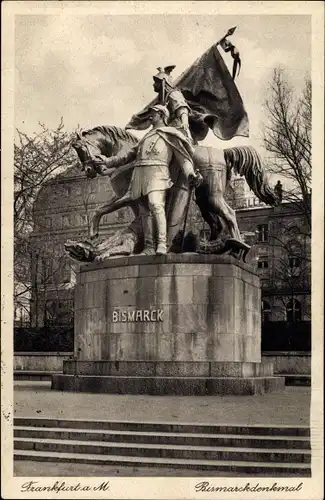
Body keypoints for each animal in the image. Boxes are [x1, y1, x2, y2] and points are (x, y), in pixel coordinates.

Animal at [72, 125, 278, 250]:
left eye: (80, 149)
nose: (89, 170)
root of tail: (223, 152)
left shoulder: (131, 196)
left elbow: (102, 210)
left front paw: (93, 236)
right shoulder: (127, 198)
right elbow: (104, 210)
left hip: (212, 196)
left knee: (229, 214)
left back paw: (236, 246)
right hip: (203, 198)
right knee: (217, 223)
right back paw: (209, 246)